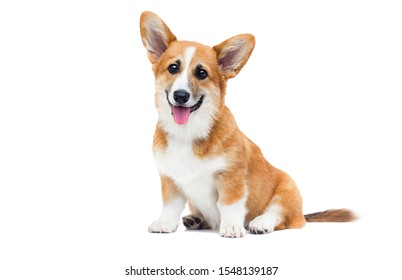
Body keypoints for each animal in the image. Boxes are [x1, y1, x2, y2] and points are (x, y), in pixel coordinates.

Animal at [139, 11, 354, 238]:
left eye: (202, 73)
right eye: (173, 68)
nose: (180, 96)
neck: (188, 132)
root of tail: (302, 214)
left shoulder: (232, 178)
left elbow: (229, 204)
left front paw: (232, 227)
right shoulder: (169, 179)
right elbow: (171, 205)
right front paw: (165, 222)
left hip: (288, 190)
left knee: (278, 213)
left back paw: (260, 223)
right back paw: (195, 219)